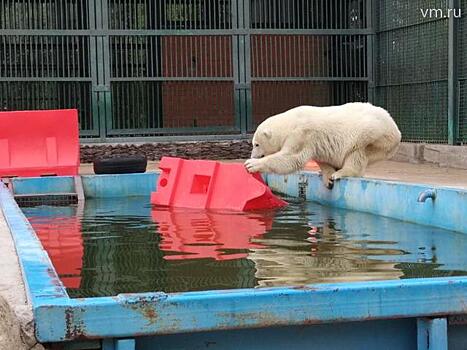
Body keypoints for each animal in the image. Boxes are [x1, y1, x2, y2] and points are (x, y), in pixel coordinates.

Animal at [245, 102, 402, 189]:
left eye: (256, 144)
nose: (253, 155)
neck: (290, 123)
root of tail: (395, 127)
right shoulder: (315, 142)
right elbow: (323, 158)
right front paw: (327, 178)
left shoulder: (302, 134)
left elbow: (292, 157)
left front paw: (251, 164)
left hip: (375, 136)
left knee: (357, 153)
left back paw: (341, 173)